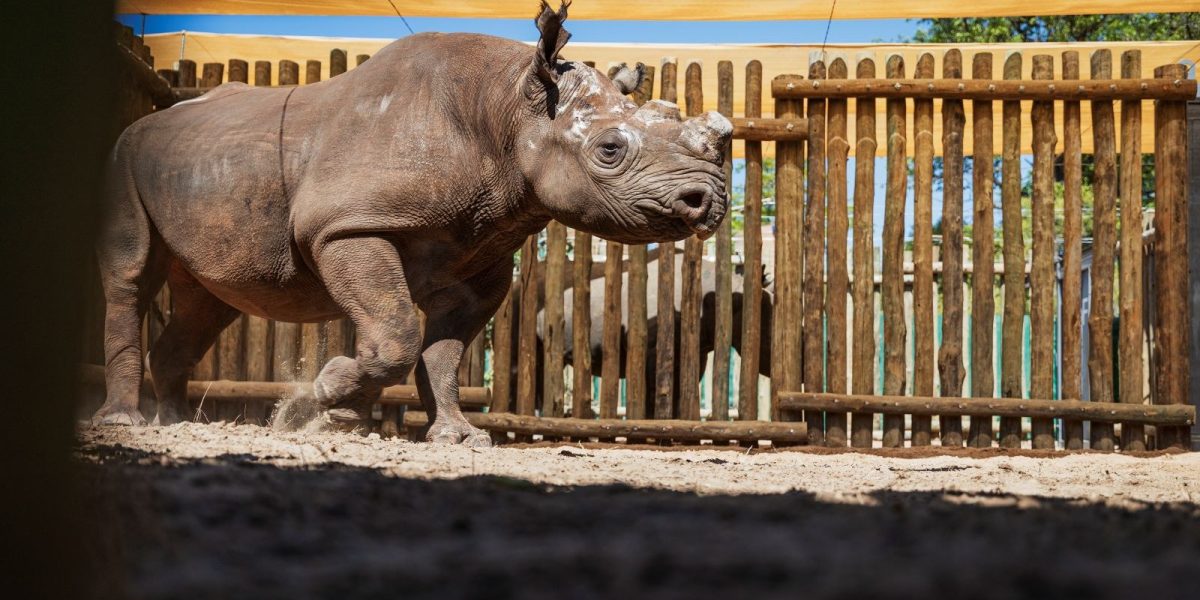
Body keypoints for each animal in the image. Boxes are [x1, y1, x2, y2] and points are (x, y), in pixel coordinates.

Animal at [91, 1, 732, 447]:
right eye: (608, 151)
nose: (710, 200)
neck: (507, 106)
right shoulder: (347, 226)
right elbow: (397, 330)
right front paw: (327, 398)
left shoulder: (481, 257)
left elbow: (443, 354)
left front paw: (455, 436)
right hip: (123, 156)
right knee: (132, 277)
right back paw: (125, 423)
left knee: (209, 302)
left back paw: (173, 423)